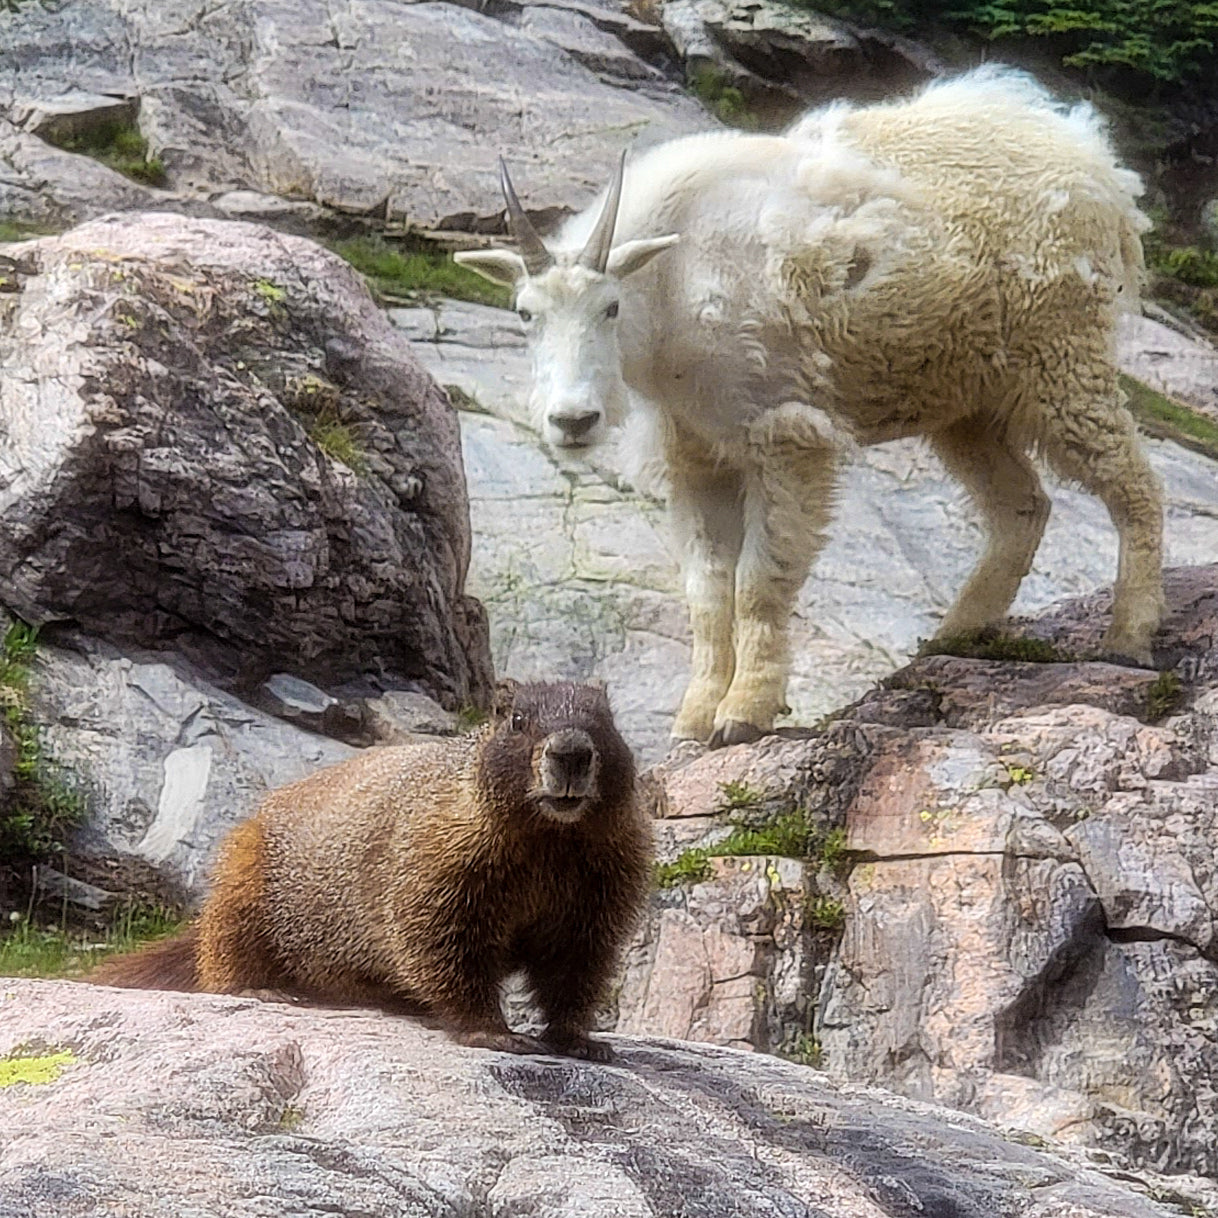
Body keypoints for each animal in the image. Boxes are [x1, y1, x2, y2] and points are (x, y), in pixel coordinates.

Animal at [455, 73, 1159, 750]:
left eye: (610, 307)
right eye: (525, 314)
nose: (573, 422)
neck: (674, 284)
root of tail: (1097, 166)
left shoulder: (786, 435)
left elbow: (758, 585)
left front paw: (742, 715)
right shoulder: (697, 456)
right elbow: (707, 594)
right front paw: (691, 723)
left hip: (1062, 360)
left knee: (1135, 488)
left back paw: (1129, 637)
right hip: (967, 401)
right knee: (1022, 506)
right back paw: (952, 639)